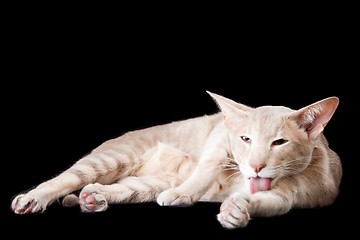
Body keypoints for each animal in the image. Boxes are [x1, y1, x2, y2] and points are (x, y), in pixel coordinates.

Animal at [11, 91, 342, 229]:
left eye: (279, 142)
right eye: (245, 139)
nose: (256, 166)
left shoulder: (291, 198)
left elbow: (271, 203)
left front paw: (236, 212)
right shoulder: (220, 137)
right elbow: (206, 168)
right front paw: (186, 193)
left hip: (148, 184)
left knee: (121, 188)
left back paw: (94, 198)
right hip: (109, 160)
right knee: (64, 179)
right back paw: (33, 198)